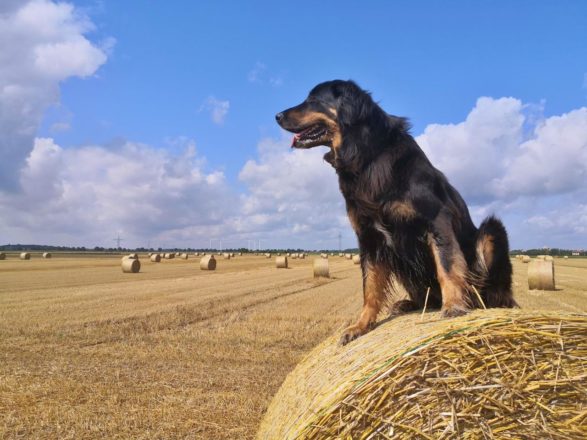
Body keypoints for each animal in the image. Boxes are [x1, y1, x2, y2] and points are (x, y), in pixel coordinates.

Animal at [276, 81, 516, 346]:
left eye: (313, 100)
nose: (277, 116)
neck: (366, 156)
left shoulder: (436, 220)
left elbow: (447, 266)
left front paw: (453, 306)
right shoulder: (369, 238)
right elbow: (369, 287)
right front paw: (361, 326)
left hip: (492, 232)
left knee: (493, 291)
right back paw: (406, 304)